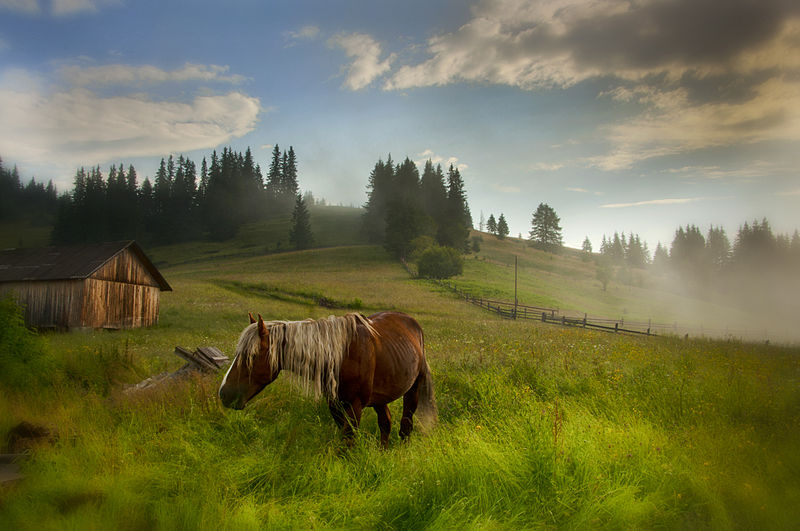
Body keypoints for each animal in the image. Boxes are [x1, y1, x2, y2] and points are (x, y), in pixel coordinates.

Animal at [217, 312, 438, 448]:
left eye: (251, 356)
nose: (224, 393)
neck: (341, 354)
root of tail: (413, 324)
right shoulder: (335, 404)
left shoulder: (355, 405)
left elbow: (348, 442)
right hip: (380, 396)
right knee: (386, 423)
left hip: (413, 389)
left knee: (406, 424)